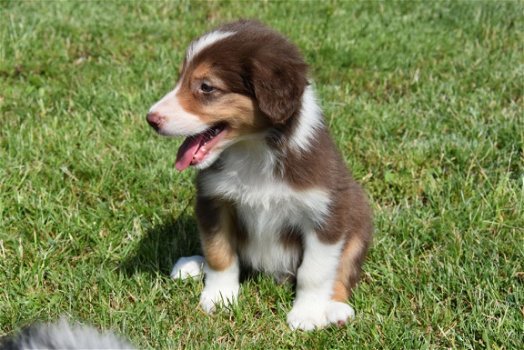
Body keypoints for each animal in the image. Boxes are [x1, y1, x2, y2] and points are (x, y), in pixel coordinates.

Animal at [147, 19, 372, 330]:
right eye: (181, 78)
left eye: (206, 87)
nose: (150, 119)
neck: (254, 150)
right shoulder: (213, 201)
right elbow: (219, 253)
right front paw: (219, 297)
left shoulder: (325, 212)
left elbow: (314, 271)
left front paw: (307, 314)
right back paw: (192, 264)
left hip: (359, 216)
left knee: (344, 267)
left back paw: (336, 308)